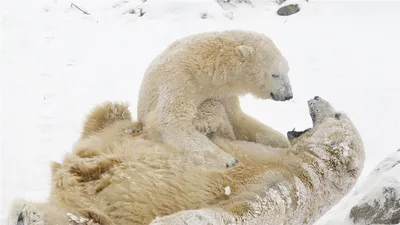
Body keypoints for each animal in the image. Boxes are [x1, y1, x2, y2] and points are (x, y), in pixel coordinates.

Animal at [7, 96, 366, 225]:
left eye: (337, 114)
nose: (315, 96)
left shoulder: (286, 187)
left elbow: (235, 211)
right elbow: (225, 133)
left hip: (98, 210)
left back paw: (26, 213)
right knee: (110, 116)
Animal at [138, 29, 294, 169]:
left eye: (287, 70)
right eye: (275, 74)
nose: (288, 95)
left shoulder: (222, 92)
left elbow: (237, 119)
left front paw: (281, 141)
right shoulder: (179, 78)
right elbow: (170, 120)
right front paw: (228, 160)